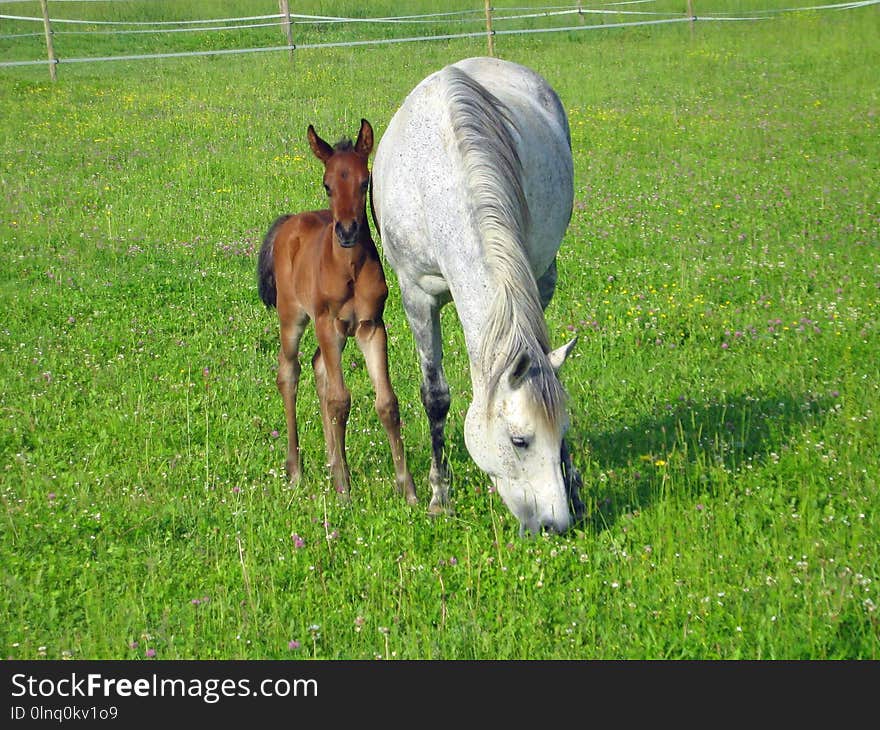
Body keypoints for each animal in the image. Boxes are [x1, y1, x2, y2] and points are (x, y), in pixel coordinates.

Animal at [256, 119, 418, 504]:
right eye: (327, 184)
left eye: (365, 182)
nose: (346, 232)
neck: (349, 268)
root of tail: (289, 222)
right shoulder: (327, 323)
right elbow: (340, 400)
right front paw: (344, 489)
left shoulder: (371, 325)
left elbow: (386, 403)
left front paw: (408, 489)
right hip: (294, 317)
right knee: (289, 372)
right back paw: (296, 471)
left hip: (340, 331)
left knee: (318, 368)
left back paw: (331, 463)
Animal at [372, 58, 584, 536]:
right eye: (519, 441)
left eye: (563, 433)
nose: (556, 524)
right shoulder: (417, 295)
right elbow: (435, 397)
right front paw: (439, 497)